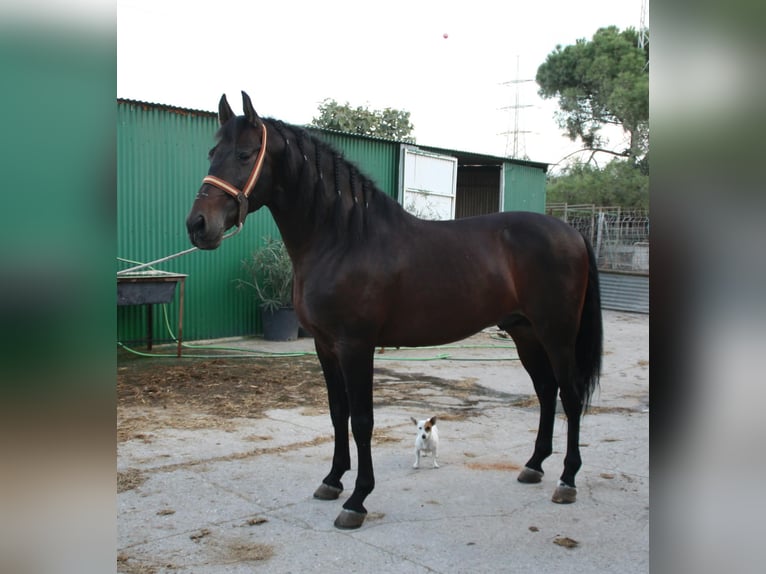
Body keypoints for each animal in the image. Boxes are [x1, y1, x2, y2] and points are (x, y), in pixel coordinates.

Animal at [186, 92, 603, 529]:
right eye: (213, 153)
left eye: (245, 154)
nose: (198, 225)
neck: (344, 238)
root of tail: (572, 232)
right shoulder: (324, 346)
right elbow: (337, 412)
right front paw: (332, 481)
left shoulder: (356, 346)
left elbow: (362, 420)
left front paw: (357, 500)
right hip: (526, 333)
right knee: (547, 392)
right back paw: (534, 466)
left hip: (557, 334)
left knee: (570, 395)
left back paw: (567, 480)